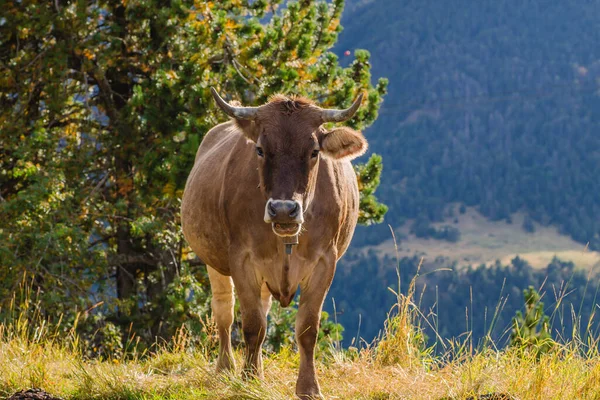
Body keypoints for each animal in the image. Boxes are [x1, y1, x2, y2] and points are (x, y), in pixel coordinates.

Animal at [178, 89, 366, 398]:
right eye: (260, 150)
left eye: (314, 152)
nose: (283, 210)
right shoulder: (241, 259)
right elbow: (252, 324)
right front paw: (248, 379)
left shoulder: (325, 261)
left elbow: (307, 328)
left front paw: (308, 387)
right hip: (213, 262)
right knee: (224, 312)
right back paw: (226, 368)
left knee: (262, 312)